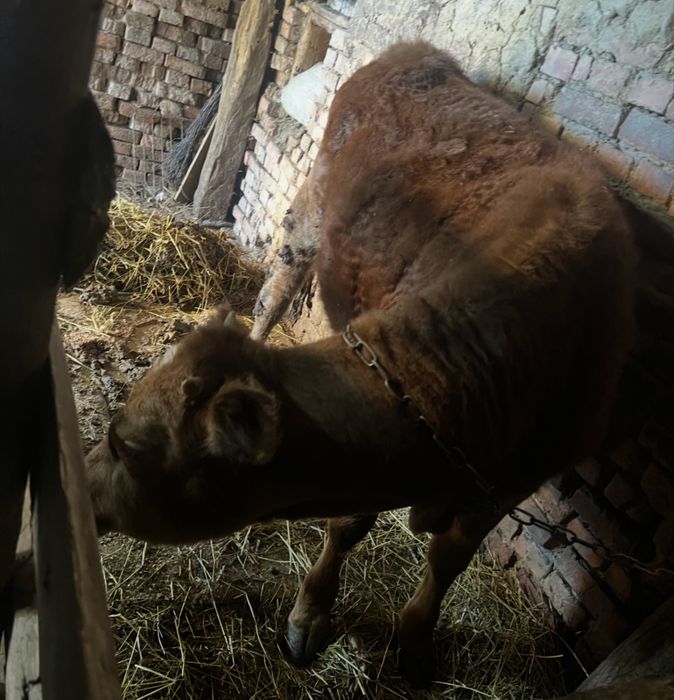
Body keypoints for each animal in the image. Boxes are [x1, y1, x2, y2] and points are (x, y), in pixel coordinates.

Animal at [86, 42, 636, 687]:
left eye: (123, 446)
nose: (85, 487)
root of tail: (418, 52)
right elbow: (350, 524)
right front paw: (310, 615)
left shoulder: (510, 482)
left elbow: (449, 558)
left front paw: (417, 642)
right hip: (306, 223)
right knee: (271, 299)